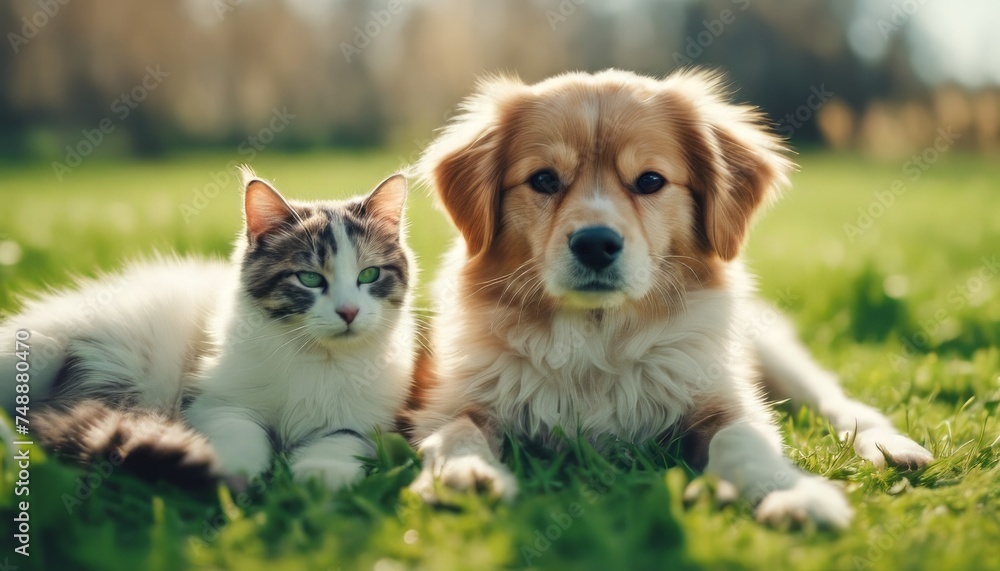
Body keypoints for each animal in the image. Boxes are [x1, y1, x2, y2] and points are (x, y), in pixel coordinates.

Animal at [0, 166, 414, 492]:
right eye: (309, 278)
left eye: (369, 274)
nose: (349, 311)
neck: (316, 359)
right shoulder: (215, 401)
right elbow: (243, 434)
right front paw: (234, 473)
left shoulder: (369, 424)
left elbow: (339, 443)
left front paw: (317, 477)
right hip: (37, 352)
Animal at [404, 69, 928, 528]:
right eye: (544, 180)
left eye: (650, 181)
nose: (595, 243)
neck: (598, 336)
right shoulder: (452, 399)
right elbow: (456, 432)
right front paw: (463, 476)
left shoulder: (726, 398)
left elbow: (742, 438)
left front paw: (791, 494)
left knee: (838, 402)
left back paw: (893, 448)